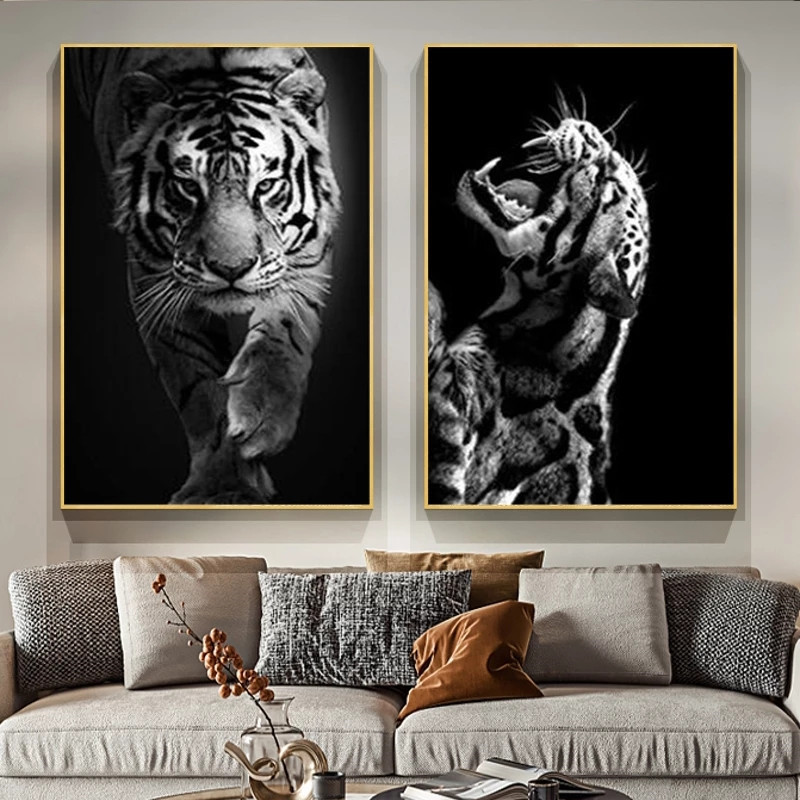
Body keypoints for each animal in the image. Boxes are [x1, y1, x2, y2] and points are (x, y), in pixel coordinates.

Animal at [69, 47, 341, 504]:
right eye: (187, 186)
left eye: (265, 185)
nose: (231, 269)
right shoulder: (155, 280)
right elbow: (198, 386)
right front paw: (224, 488)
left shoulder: (306, 252)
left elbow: (283, 331)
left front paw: (262, 417)